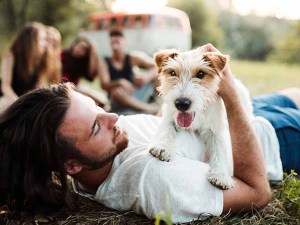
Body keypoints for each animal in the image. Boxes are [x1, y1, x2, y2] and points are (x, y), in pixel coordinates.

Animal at [148, 47, 246, 190]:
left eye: (200, 74)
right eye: (172, 73)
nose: (182, 104)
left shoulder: (216, 130)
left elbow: (219, 150)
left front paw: (221, 174)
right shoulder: (169, 116)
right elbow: (166, 130)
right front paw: (163, 147)